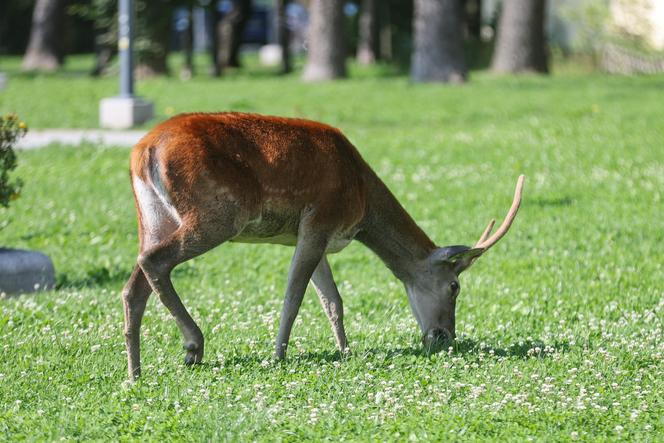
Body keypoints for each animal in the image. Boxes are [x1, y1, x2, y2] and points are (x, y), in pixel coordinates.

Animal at [120, 112, 524, 380]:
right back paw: (193, 347)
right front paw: (279, 354)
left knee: (133, 283)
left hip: (153, 217)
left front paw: (346, 350)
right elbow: (295, 295)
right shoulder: (319, 221)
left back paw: (135, 371)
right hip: (218, 213)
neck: (362, 199)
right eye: (454, 286)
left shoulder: (317, 239)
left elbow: (332, 301)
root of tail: (143, 151)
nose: (444, 338)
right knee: (154, 261)